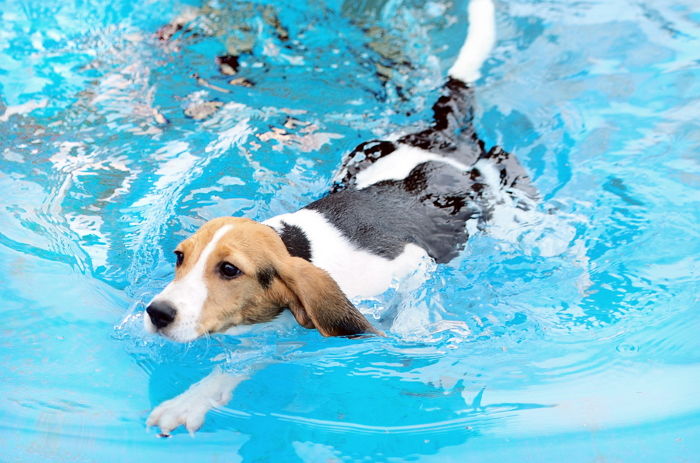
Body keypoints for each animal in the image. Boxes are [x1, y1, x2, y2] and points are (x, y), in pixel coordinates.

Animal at [144, 0, 536, 436]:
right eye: (179, 257)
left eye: (229, 269)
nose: (157, 313)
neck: (295, 244)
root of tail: (440, 136)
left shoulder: (411, 267)